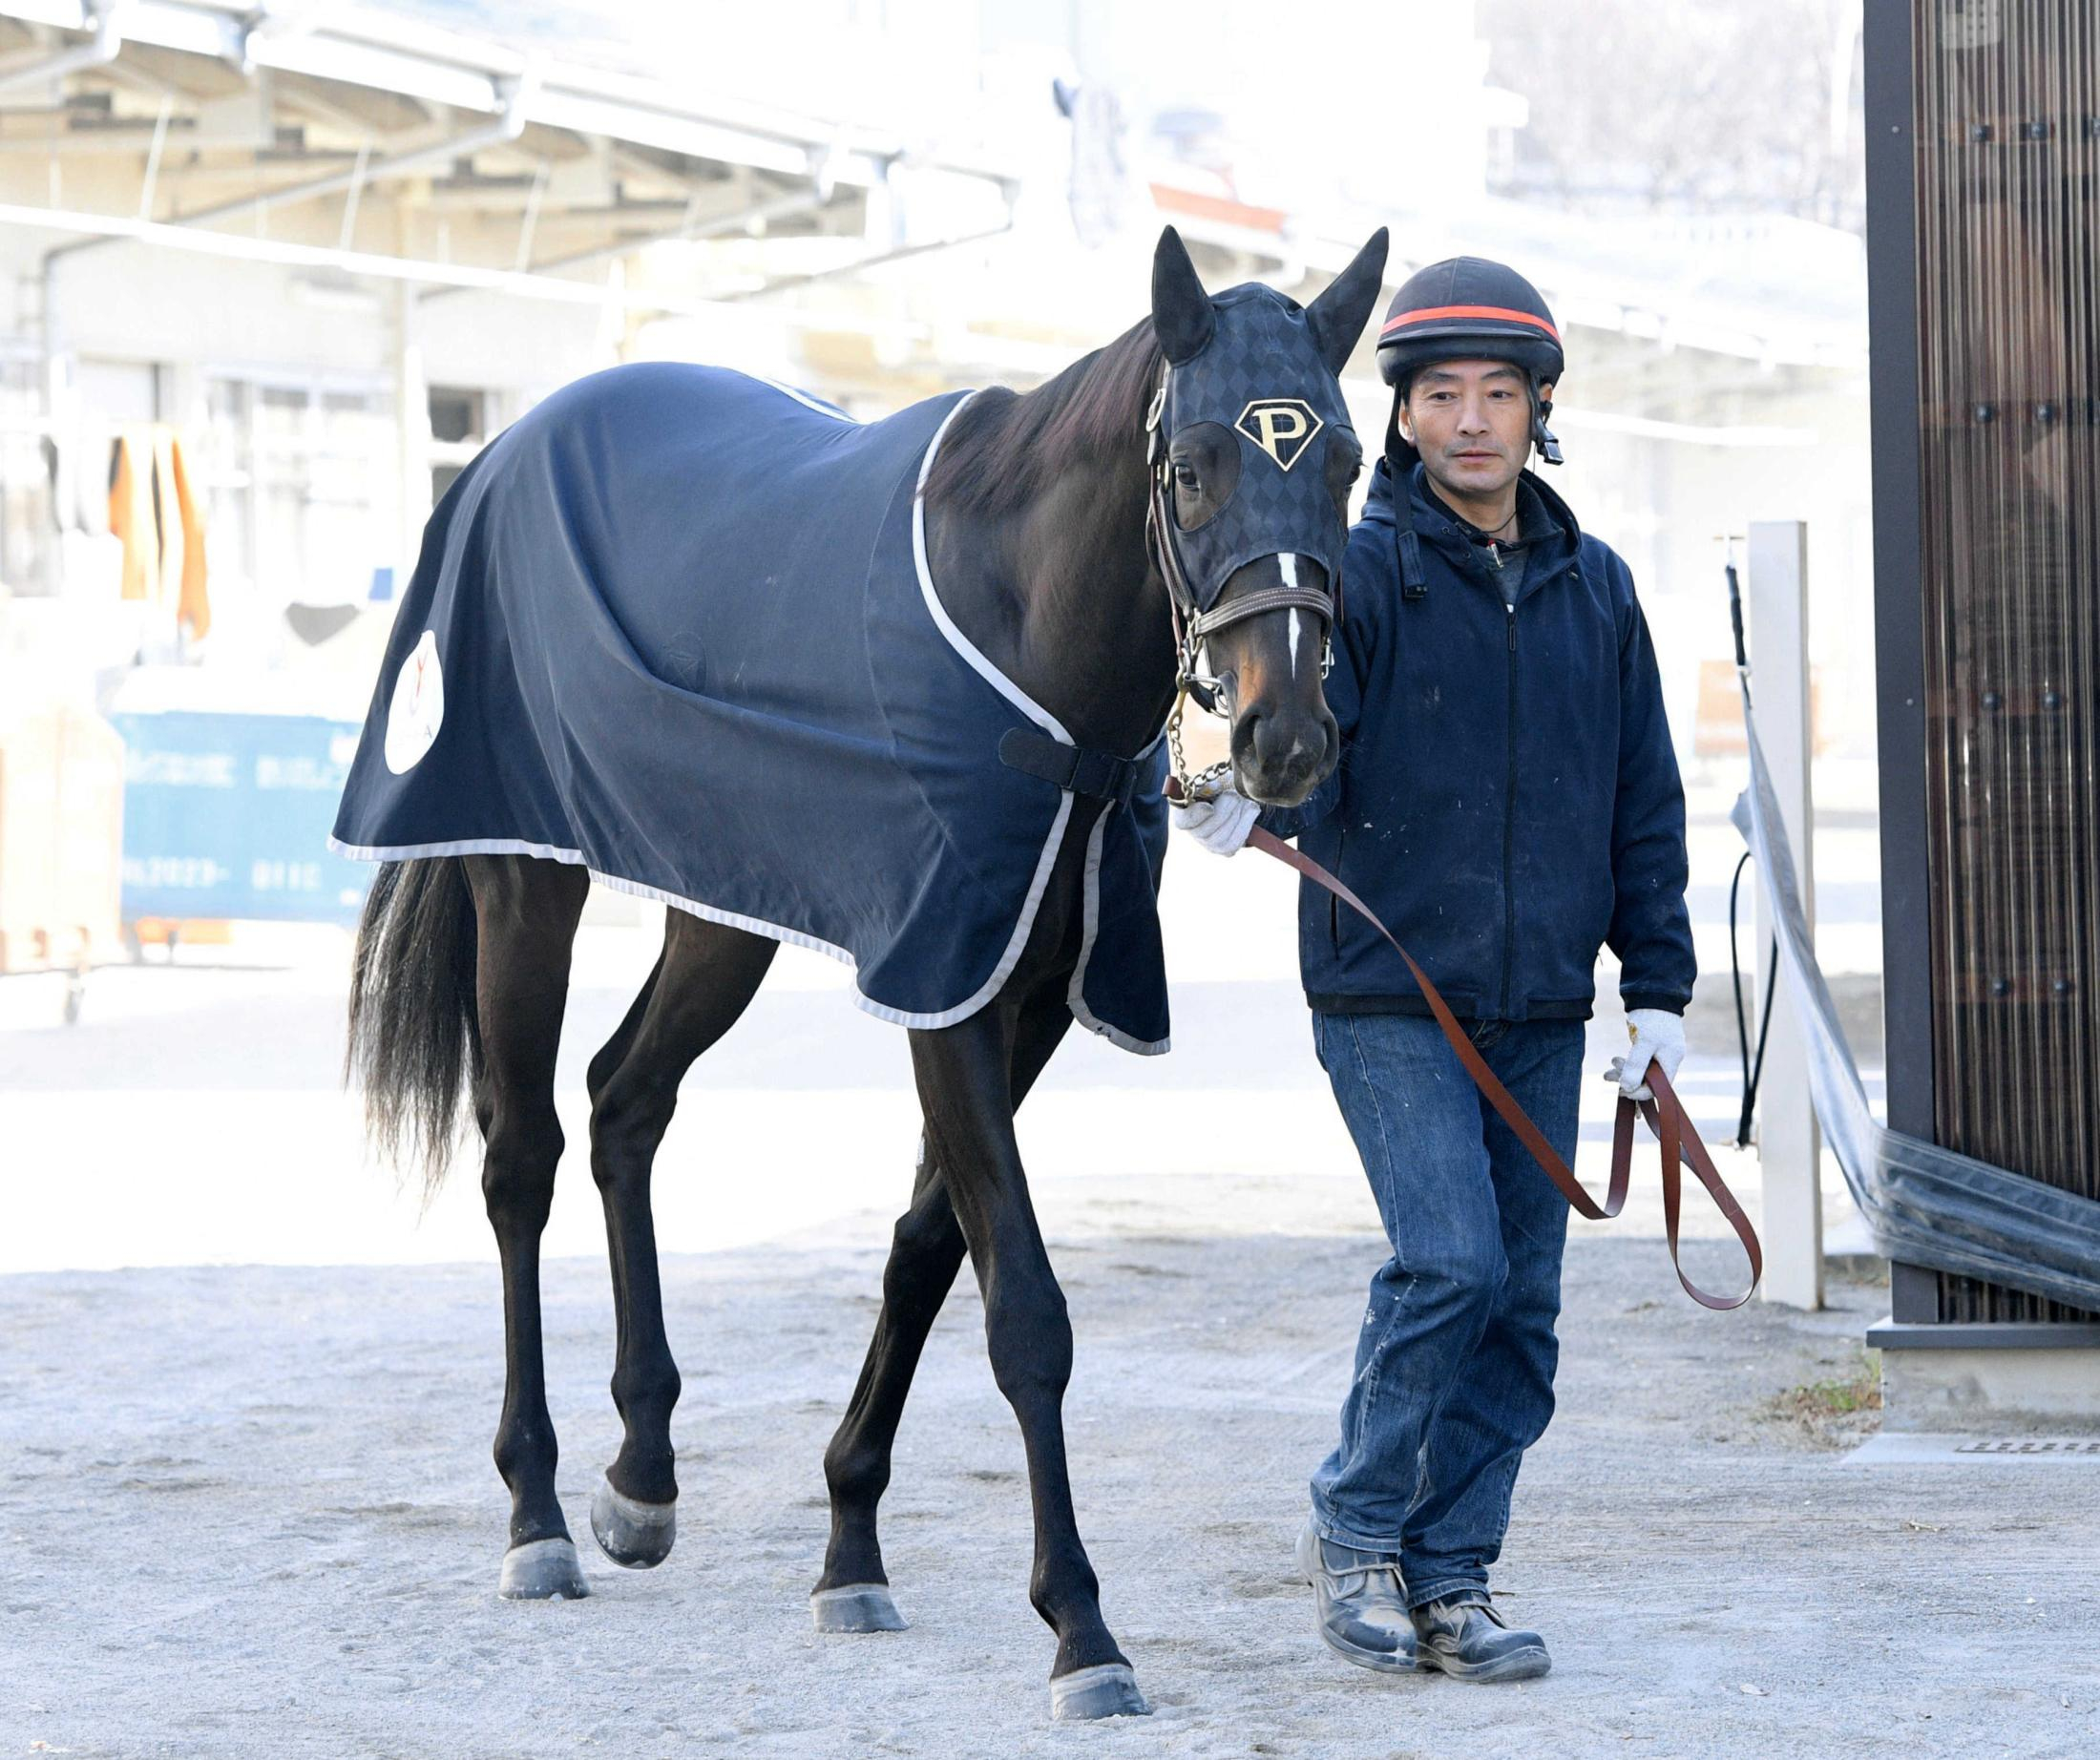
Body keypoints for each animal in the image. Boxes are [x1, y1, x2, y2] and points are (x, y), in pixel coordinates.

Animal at [342, 223, 1386, 1722]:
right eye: (1191, 465)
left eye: (1348, 461)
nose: (1285, 735)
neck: (1025, 636)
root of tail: (505, 448)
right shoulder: (940, 977)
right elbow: (1024, 1307)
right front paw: (1082, 1626)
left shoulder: (1023, 991)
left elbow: (928, 1249)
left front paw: (849, 1541)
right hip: (522, 875)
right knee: (521, 1154)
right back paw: (536, 1510)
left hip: (724, 903)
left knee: (624, 1100)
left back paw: (641, 1475)